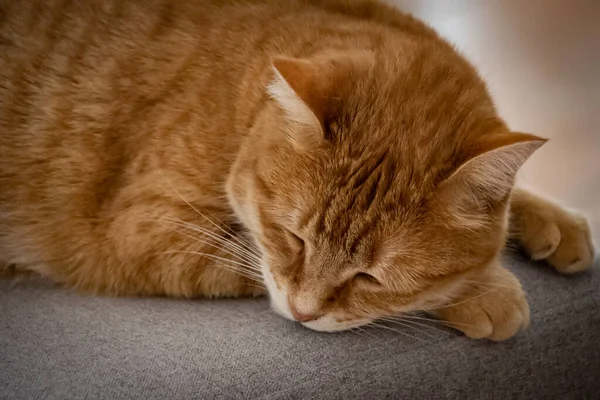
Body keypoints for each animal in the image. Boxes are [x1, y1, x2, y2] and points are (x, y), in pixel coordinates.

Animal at [0, 0, 592, 340]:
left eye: (370, 276)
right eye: (293, 239)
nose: (304, 315)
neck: (243, 103)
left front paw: (552, 220)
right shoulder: (146, 231)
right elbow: (247, 260)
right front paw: (485, 291)